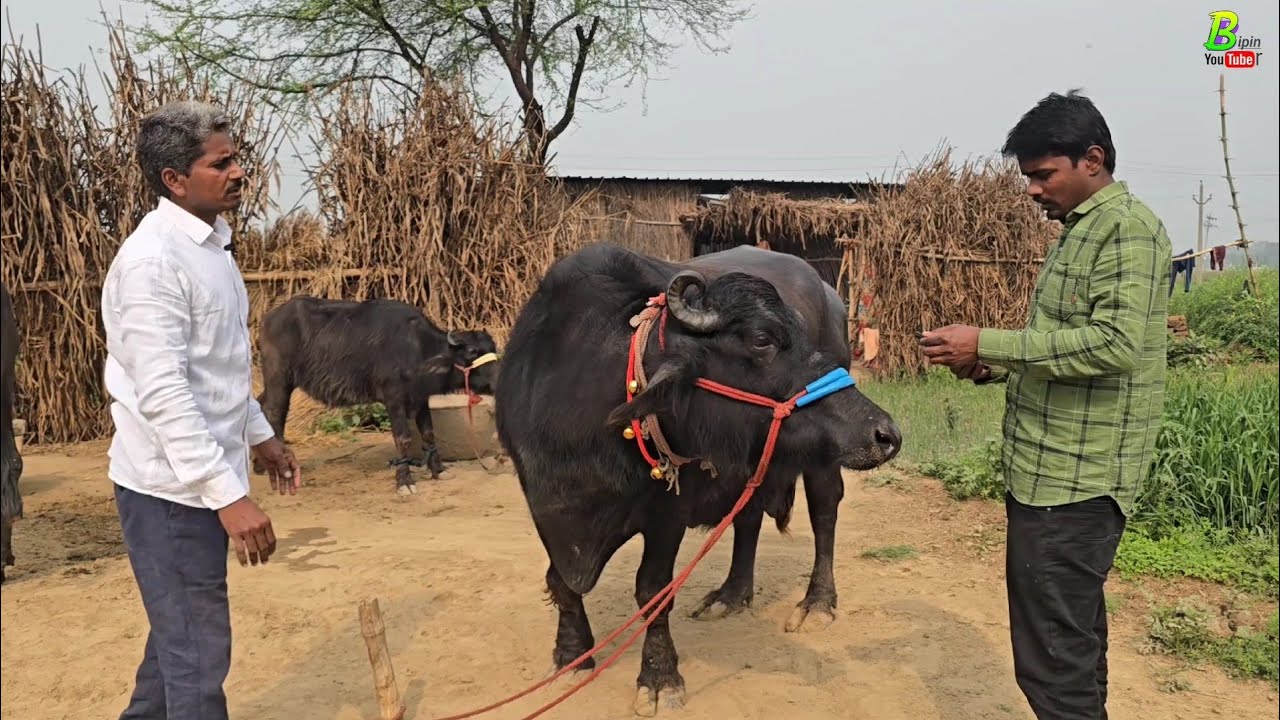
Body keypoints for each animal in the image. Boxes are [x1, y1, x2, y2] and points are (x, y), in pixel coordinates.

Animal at [256, 296, 499, 494]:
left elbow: (430, 433)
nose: (497, 380)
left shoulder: (421, 399)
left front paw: (439, 470)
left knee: (260, 405)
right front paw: (405, 482)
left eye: (493, 347)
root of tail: (268, 319)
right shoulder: (394, 400)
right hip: (279, 379)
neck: (417, 349)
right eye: (471, 352)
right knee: (275, 412)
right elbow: (402, 439)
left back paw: (260, 465)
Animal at [494, 242, 901, 714]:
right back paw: (731, 594)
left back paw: (817, 602)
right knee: (748, 516)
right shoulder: (542, 503)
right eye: (762, 339)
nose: (886, 435)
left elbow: (652, 590)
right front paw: (571, 655)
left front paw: (659, 677)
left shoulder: (667, 513)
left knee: (824, 513)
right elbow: (560, 581)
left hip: (822, 459)